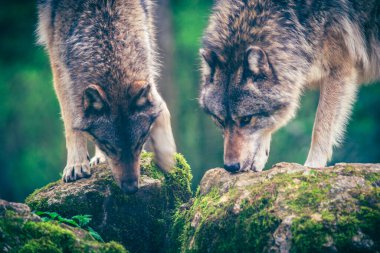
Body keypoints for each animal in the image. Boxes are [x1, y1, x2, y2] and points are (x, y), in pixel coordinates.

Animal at [37, 0, 177, 194]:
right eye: (109, 146)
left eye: (139, 142)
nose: (131, 189)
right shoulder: (60, 63)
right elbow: (72, 122)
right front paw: (76, 164)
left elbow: (160, 105)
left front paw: (166, 156)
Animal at [200, 0, 378, 172]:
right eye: (220, 120)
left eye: (246, 119)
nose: (230, 167)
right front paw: (259, 159)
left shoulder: (339, 68)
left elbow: (320, 126)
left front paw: (313, 165)